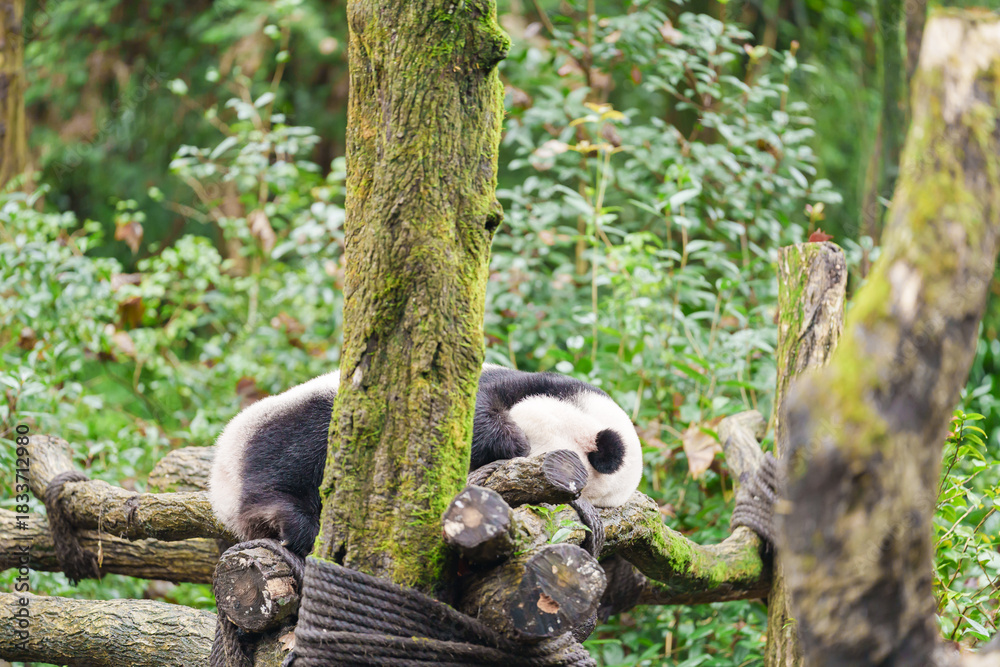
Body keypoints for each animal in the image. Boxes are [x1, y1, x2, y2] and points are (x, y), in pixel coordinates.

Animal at [208, 365, 643, 557]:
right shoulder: (513, 383)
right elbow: (468, 410)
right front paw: (510, 440)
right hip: (300, 420)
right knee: (289, 457)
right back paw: (281, 517)